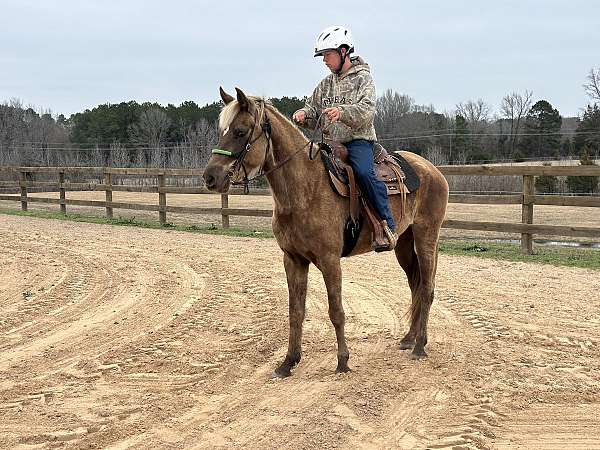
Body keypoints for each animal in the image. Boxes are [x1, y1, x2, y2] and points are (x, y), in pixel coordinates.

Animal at [204, 87, 448, 376]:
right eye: (222, 130)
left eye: (241, 131)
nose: (210, 177)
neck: (305, 189)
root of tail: (432, 170)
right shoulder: (293, 259)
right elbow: (296, 312)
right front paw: (288, 362)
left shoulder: (330, 260)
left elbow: (336, 311)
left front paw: (343, 361)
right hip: (403, 244)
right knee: (415, 286)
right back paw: (409, 339)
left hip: (426, 236)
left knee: (427, 288)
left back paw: (420, 346)